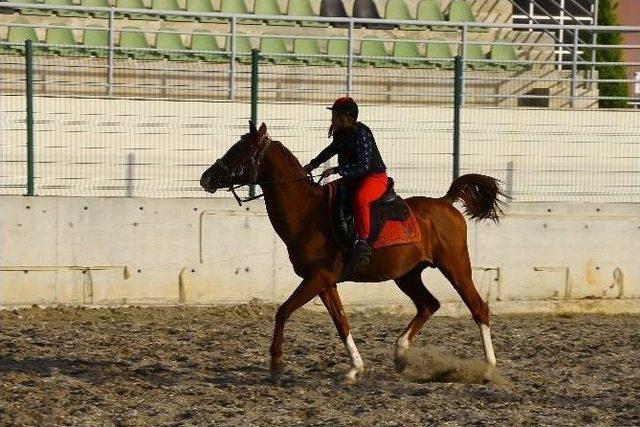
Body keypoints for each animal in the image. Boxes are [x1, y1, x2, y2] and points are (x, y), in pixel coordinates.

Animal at [200, 122, 504, 386]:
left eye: (240, 149)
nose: (206, 177)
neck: (308, 214)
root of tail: (445, 201)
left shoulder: (317, 278)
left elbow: (283, 311)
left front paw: (276, 366)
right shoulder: (324, 283)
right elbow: (341, 322)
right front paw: (354, 369)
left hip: (456, 267)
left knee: (479, 309)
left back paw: (488, 369)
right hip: (407, 275)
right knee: (429, 304)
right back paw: (400, 354)